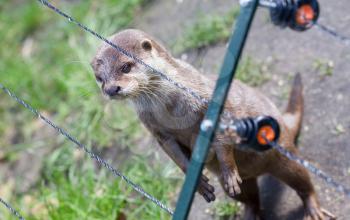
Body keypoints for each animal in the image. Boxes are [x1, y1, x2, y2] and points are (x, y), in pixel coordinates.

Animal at [91, 29, 332, 220]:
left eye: (126, 67)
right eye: (99, 78)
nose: (111, 89)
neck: (169, 106)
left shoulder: (208, 100)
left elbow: (223, 134)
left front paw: (228, 170)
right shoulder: (156, 130)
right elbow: (175, 155)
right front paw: (199, 184)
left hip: (283, 155)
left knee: (302, 180)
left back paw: (313, 209)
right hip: (247, 183)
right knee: (251, 199)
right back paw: (249, 215)